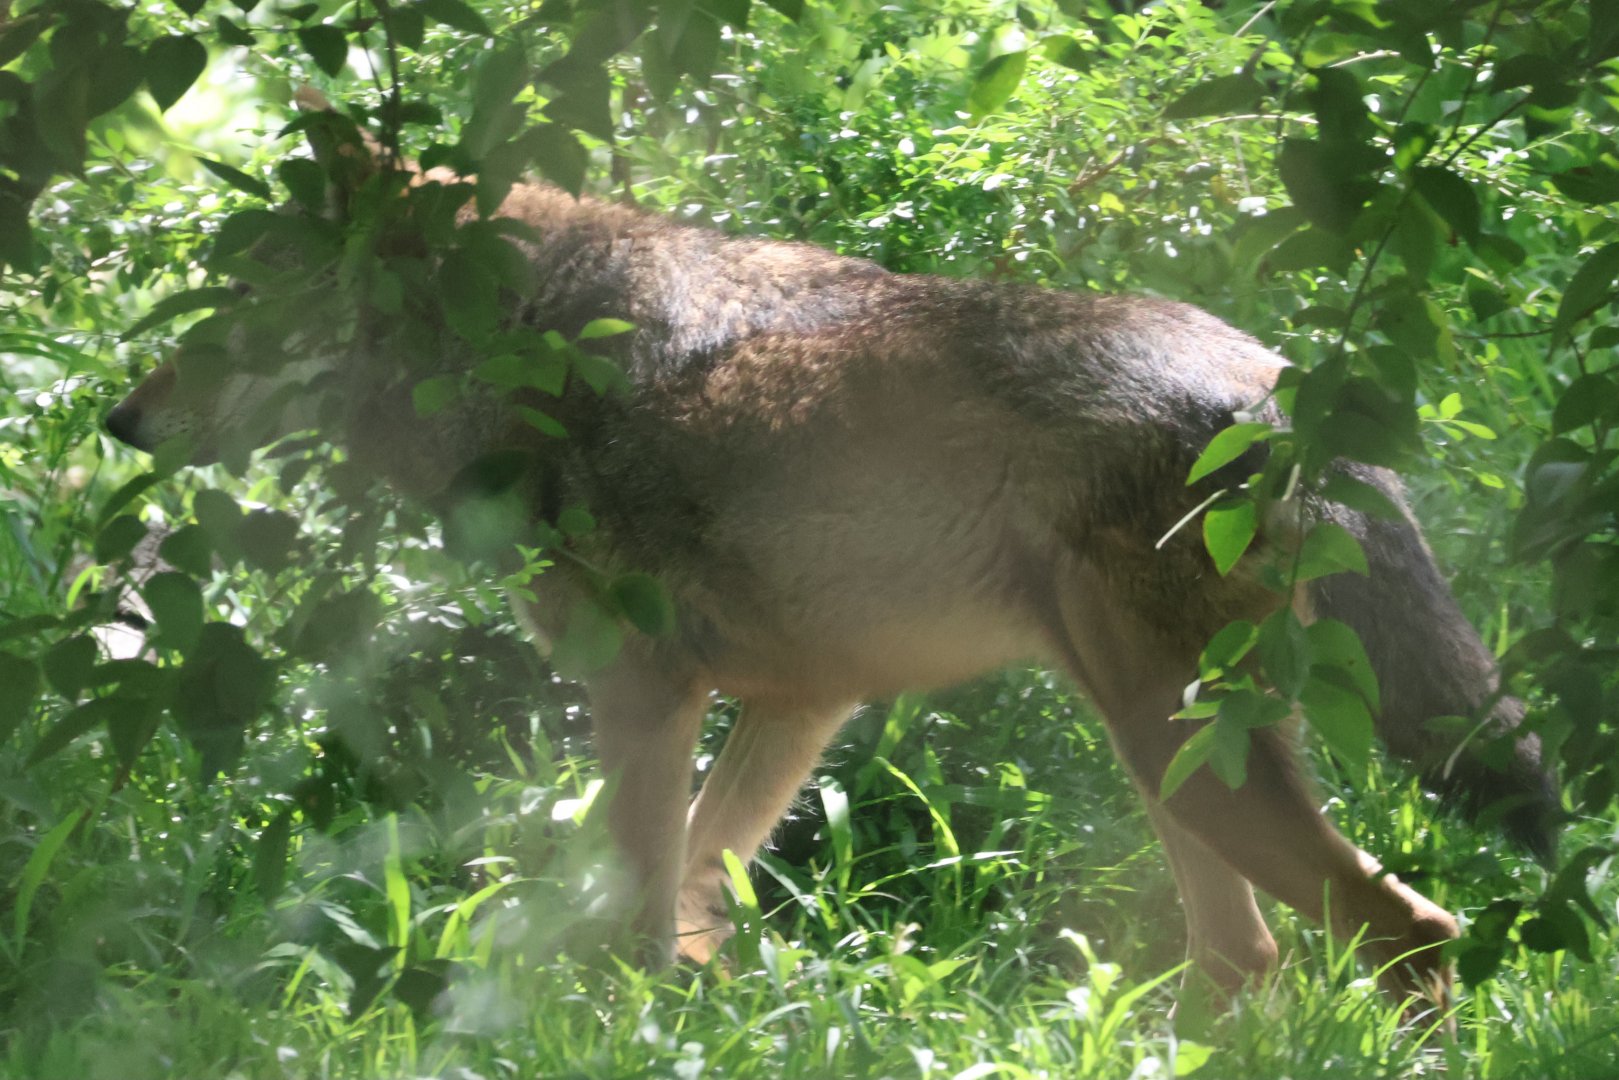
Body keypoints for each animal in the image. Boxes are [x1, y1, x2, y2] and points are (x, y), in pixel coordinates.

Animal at [104, 110, 1556, 1008]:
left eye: (240, 304)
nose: (120, 420)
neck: (532, 352)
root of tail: (1275, 384)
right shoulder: (802, 701)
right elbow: (696, 892)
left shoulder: (644, 690)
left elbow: (633, 915)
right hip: (1165, 764)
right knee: (1254, 957)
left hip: (1178, 758)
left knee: (1408, 935)